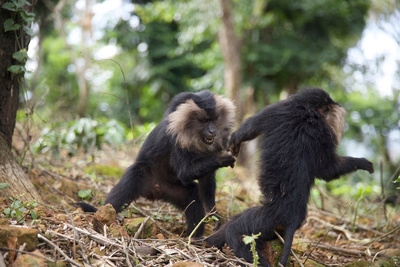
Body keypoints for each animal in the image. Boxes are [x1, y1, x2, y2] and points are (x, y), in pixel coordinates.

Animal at [76, 91, 236, 238]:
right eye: (204, 121)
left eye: (214, 120)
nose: (212, 131)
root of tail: (153, 191)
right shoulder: (177, 137)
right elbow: (184, 173)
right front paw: (222, 159)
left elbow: (205, 179)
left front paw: (212, 213)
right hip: (145, 178)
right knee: (134, 174)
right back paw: (102, 213)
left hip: (170, 189)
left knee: (193, 194)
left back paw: (194, 237)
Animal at [206, 88, 376, 266]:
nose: (337, 106)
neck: (308, 111)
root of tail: (292, 218)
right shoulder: (310, 124)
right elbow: (328, 169)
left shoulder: (280, 110)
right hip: (270, 222)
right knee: (234, 227)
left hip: (268, 220)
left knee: (235, 232)